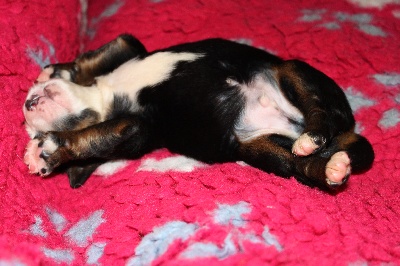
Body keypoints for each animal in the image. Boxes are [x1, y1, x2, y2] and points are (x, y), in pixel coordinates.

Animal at [21, 34, 374, 190]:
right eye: (32, 130)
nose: (27, 105)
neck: (105, 96)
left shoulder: (131, 48)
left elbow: (98, 56)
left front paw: (55, 71)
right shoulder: (135, 128)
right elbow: (95, 138)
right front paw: (47, 152)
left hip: (291, 69)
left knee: (319, 112)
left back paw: (312, 137)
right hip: (259, 150)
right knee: (301, 166)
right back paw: (330, 168)